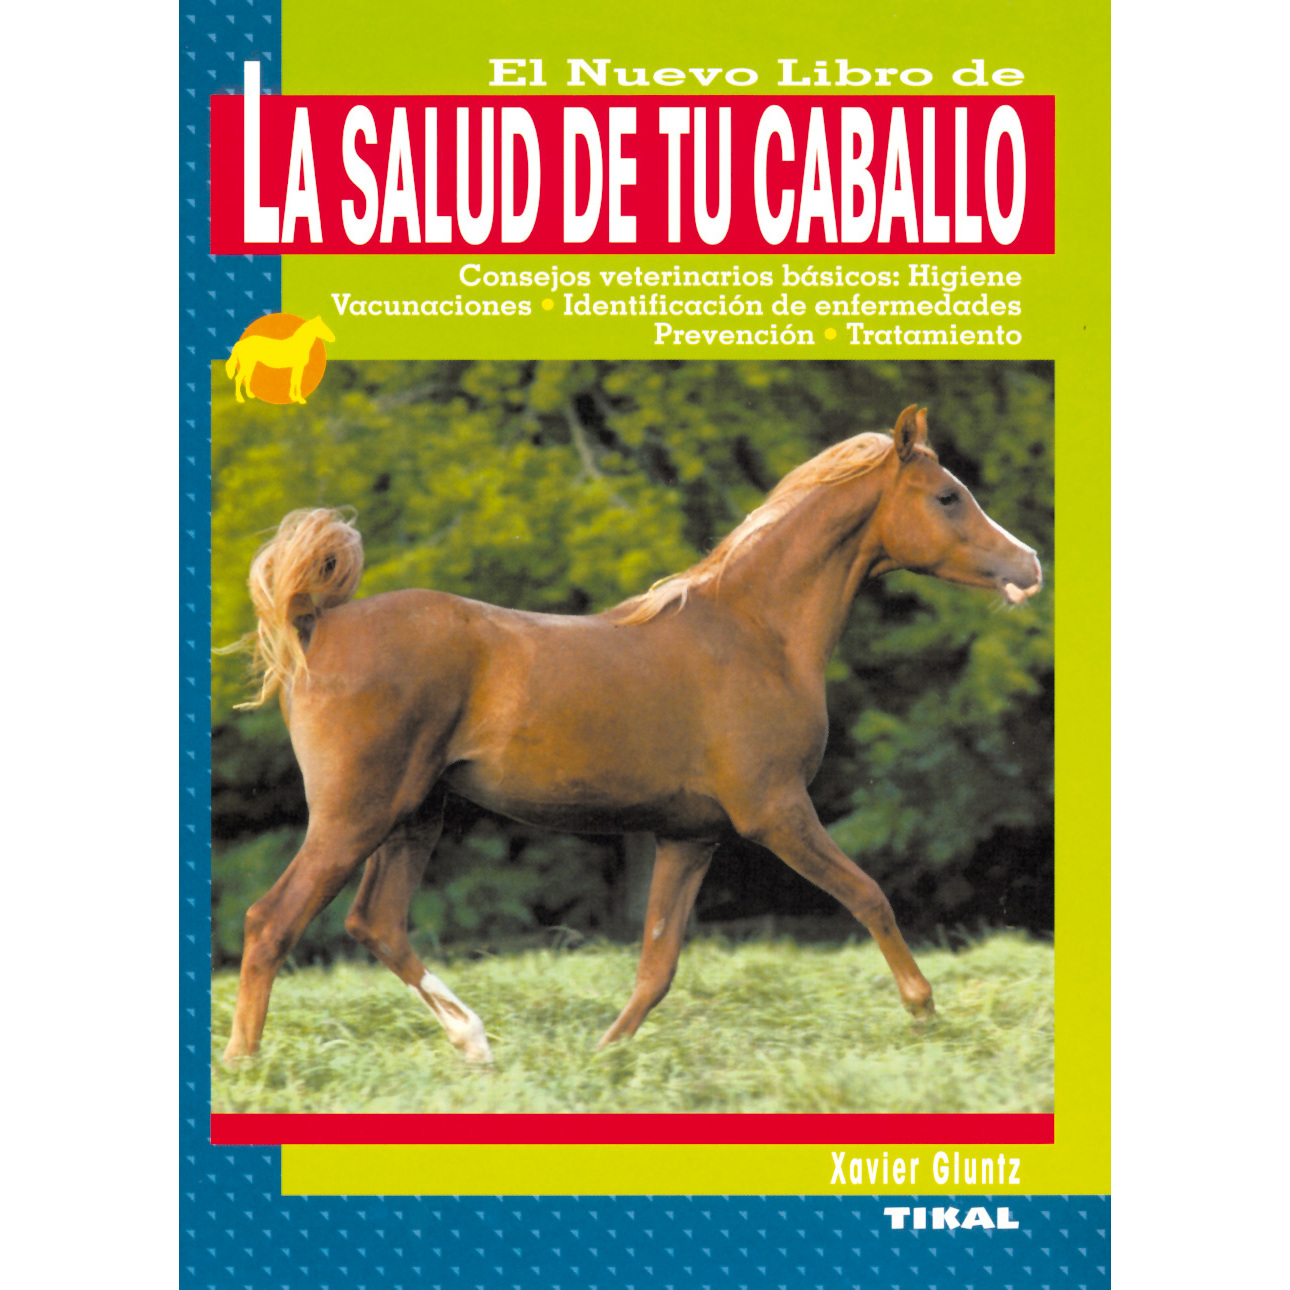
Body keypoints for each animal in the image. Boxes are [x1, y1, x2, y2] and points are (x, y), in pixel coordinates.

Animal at [220, 405, 1042, 1067]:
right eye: (947, 496)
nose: (1030, 563)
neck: (757, 633)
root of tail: (315, 623)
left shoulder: (690, 835)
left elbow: (657, 966)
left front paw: (602, 1056)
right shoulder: (777, 812)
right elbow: (870, 895)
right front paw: (924, 1011)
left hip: (415, 815)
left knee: (376, 923)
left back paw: (474, 1045)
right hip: (355, 816)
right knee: (271, 922)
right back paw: (245, 1066)